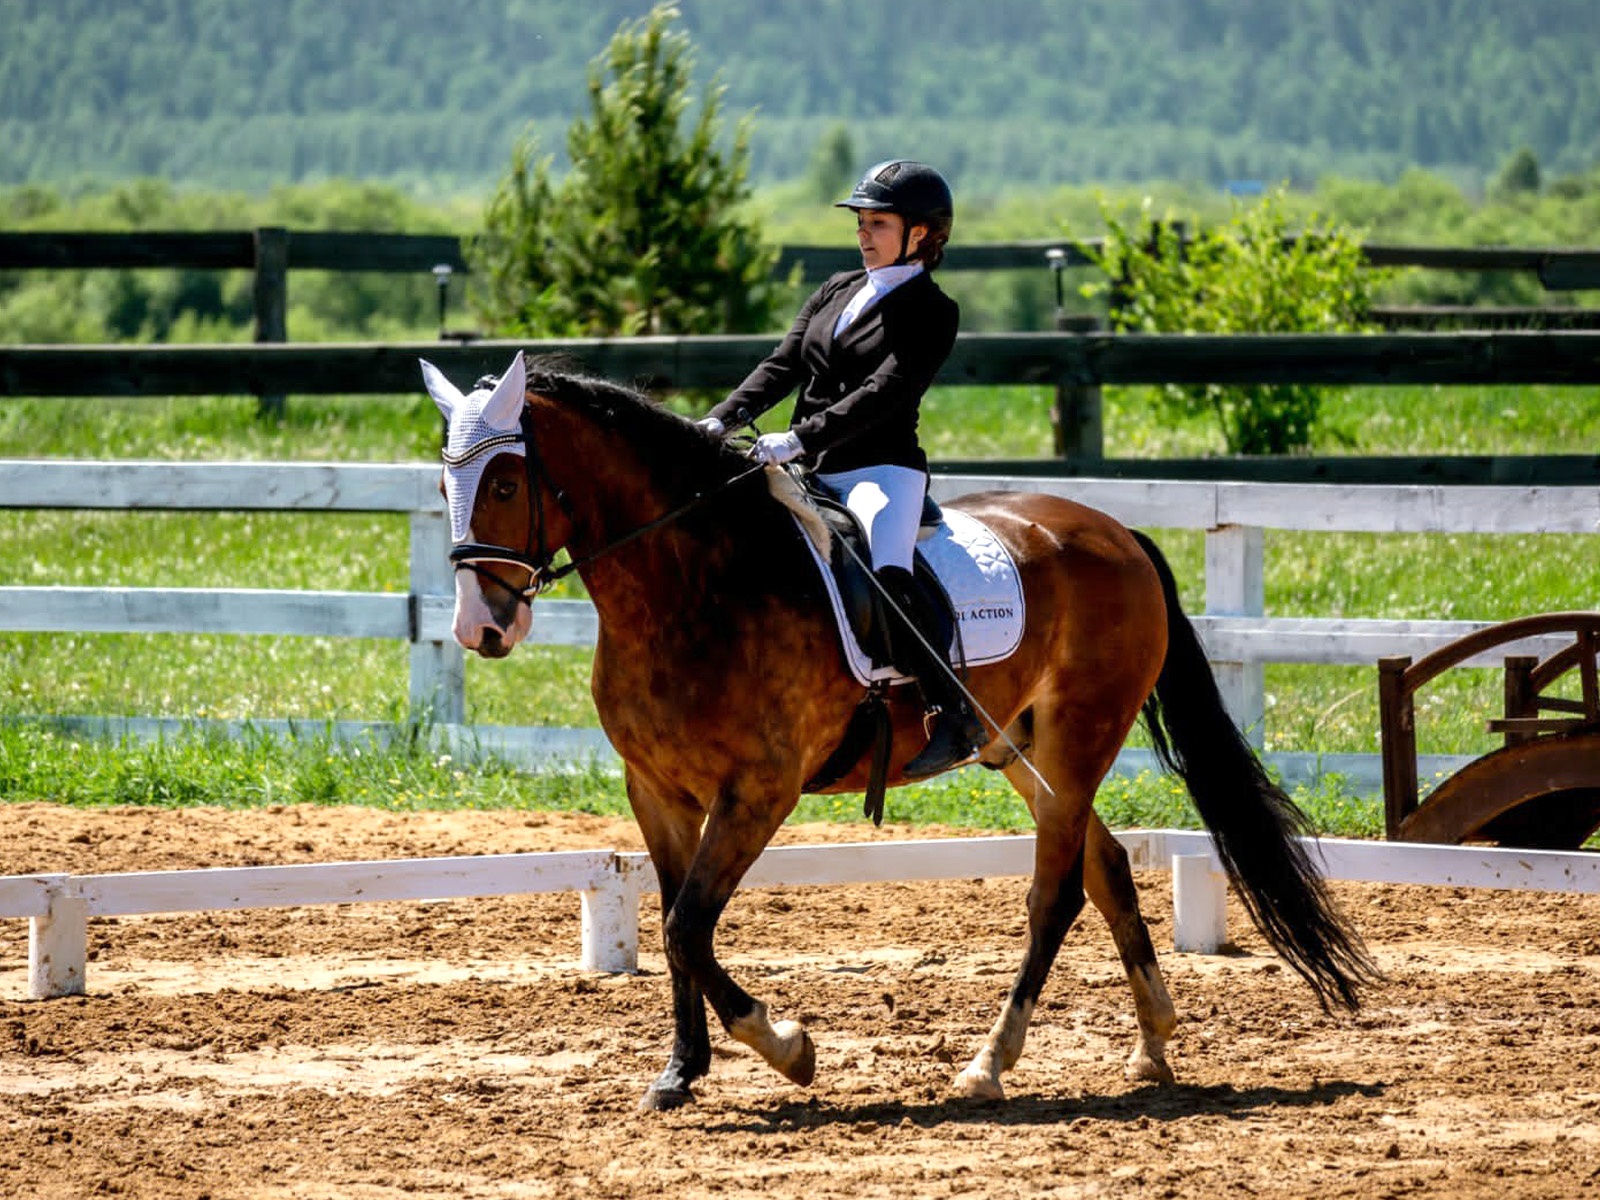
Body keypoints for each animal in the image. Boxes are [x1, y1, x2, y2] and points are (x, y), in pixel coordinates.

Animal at [425, 352, 1376, 1113]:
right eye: (443, 486)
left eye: (504, 482)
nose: (482, 629)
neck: (693, 584)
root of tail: (1118, 533)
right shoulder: (655, 790)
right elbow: (671, 925)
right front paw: (681, 1073)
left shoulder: (758, 790)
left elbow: (690, 926)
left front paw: (787, 1048)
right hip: (1017, 745)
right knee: (1105, 867)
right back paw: (1152, 1043)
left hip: (1078, 741)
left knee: (1056, 893)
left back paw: (990, 1065)